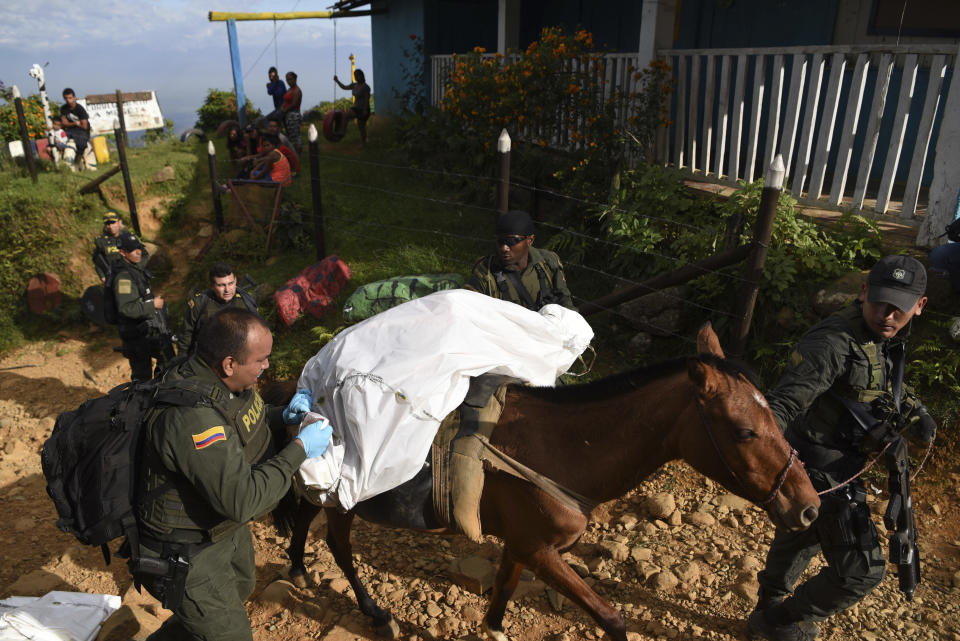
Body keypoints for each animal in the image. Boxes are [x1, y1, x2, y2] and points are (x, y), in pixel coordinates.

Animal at [278, 324, 816, 640]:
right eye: (744, 431)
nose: (808, 505)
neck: (562, 451)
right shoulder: (542, 550)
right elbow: (613, 618)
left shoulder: (521, 544)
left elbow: (501, 592)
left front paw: (492, 628)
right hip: (344, 500)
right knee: (339, 546)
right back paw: (373, 610)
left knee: (303, 511)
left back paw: (299, 567)